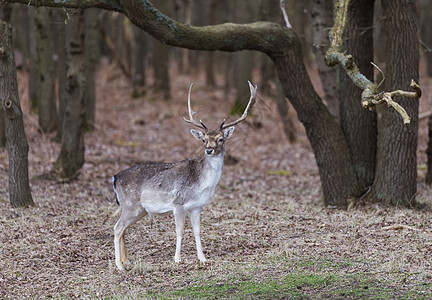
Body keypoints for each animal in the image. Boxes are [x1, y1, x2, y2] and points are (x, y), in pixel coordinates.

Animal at [113, 81, 258, 270]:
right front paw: (177, 259)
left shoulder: (197, 206)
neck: (202, 184)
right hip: (130, 204)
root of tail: (115, 178)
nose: (209, 149)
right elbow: (180, 230)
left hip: (139, 210)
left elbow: (197, 230)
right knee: (117, 228)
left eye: (220, 139)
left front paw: (202, 258)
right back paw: (119, 266)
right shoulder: (178, 203)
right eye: (203, 139)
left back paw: (126, 261)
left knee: (123, 229)